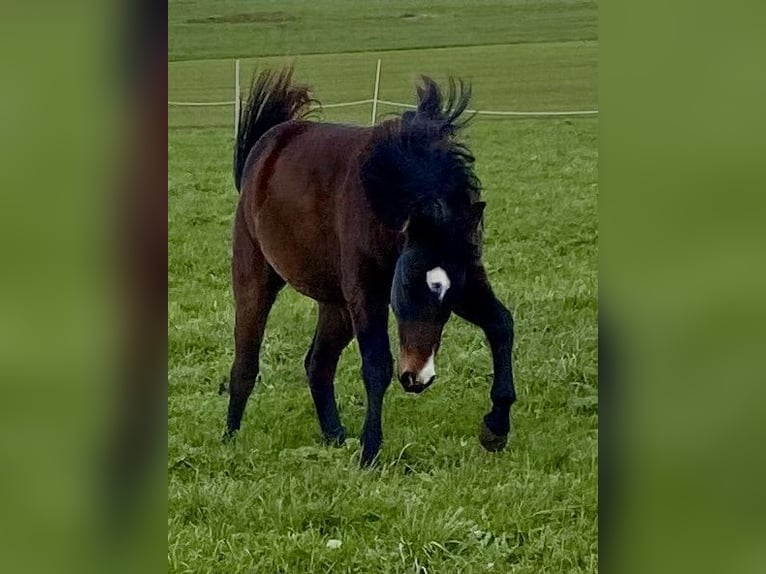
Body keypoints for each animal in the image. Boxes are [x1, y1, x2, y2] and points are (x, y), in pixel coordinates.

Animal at [225, 67, 520, 468]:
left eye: (446, 294)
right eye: (407, 285)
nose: (417, 377)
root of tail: (267, 143)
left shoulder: (466, 280)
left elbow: (501, 324)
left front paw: (495, 428)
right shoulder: (367, 294)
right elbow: (377, 364)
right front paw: (370, 451)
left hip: (336, 305)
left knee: (318, 364)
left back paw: (334, 434)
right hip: (256, 277)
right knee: (246, 361)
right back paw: (230, 439)